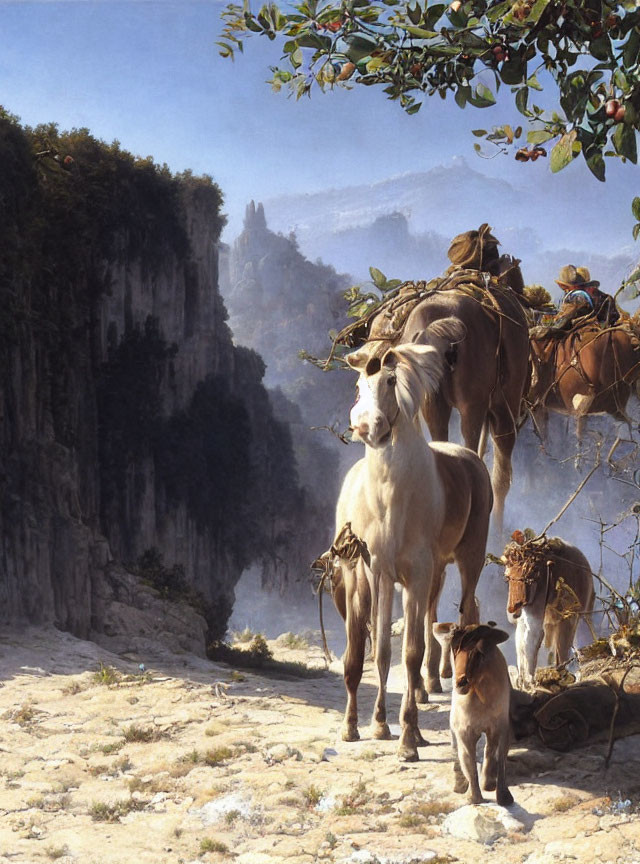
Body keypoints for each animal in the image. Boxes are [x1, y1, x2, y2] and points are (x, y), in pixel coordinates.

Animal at [338, 318, 492, 764]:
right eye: (359, 386)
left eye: (391, 381)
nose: (366, 427)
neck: (390, 502)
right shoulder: (378, 575)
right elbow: (379, 651)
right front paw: (370, 725)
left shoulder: (416, 575)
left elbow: (410, 653)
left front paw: (407, 739)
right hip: (426, 575)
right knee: (425, 623)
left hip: (466, 561)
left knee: (463, 613)